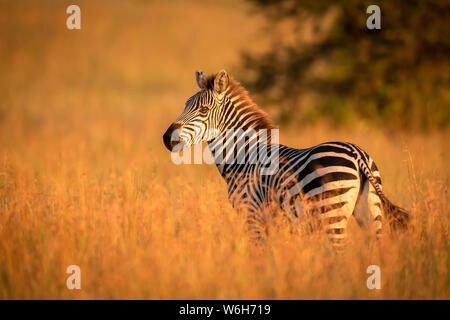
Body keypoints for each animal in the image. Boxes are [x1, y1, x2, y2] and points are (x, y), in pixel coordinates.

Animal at [163, 69, 410, 246]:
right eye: (185, 105)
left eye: (203, 111)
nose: (167, 138)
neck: (244, 155)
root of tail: (356, 154)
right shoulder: (273, 221)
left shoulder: (252, 215)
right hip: (370, 213)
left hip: (332, 215)